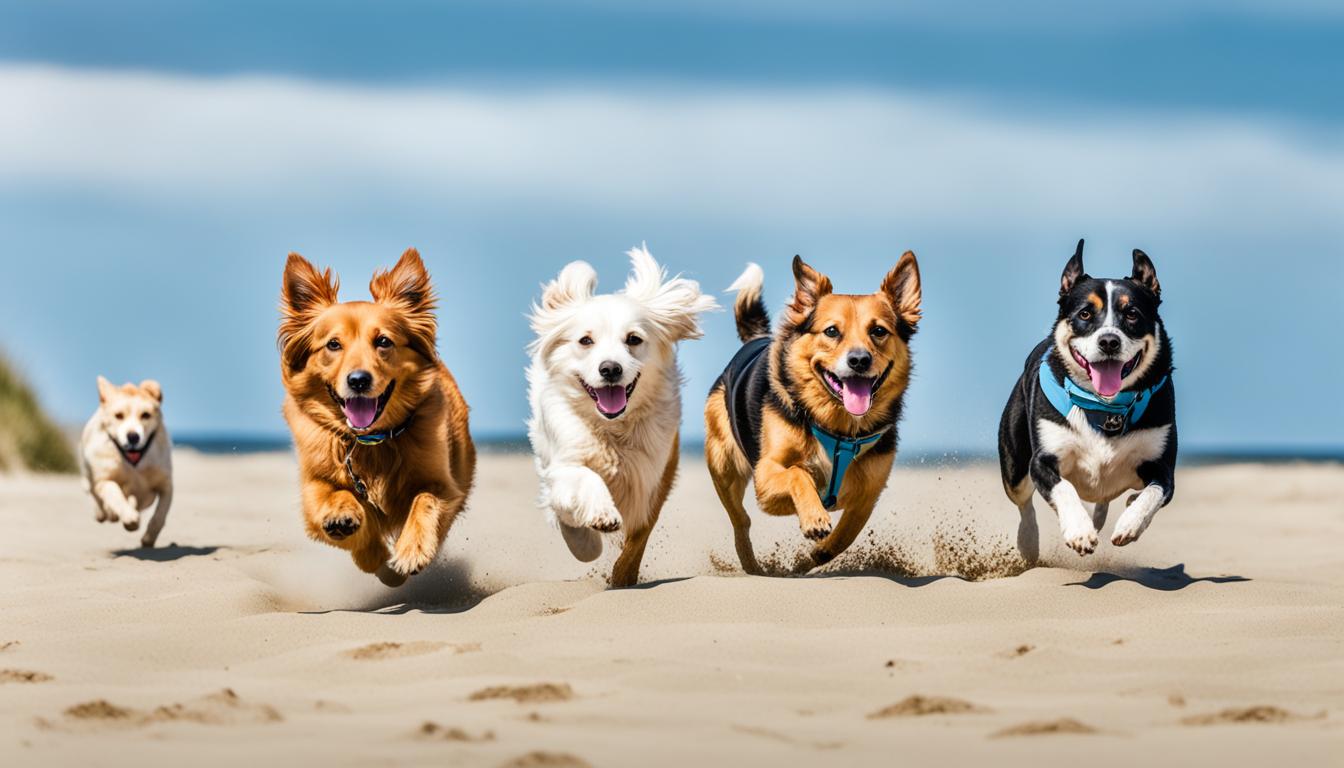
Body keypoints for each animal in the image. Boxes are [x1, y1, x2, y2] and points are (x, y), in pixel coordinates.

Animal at [278, 248, 478, 586]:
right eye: (333, 344)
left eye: (383, 341)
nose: (359, 380)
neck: (370, 442)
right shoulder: (313, 485)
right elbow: (336, 505)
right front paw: (346, 520)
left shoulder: (444, 486)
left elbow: (424, 500)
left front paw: (411, 550)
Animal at [524, 246, 715, 589]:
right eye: (585, 340)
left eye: (633, 339)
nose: (610, 368)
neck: (611, 429)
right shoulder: (562, 464)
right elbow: (584, 482)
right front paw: (597, 522)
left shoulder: (654, 475)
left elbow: (640, 533)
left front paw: (624, 575)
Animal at [704, 255, 924, 572]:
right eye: (831, 331)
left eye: (879, 331)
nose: (859, 360)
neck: (840, 429)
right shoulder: (765, 480)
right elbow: (798, 474)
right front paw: (814, 519)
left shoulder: (868, 495)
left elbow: (843, 537)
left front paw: (810, 559)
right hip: (723, 465)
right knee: (741, 520)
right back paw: (751, 565)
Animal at [999, 240, 1177, 564]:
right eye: (1084, 314)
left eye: (1132, 313)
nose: (1109, 341)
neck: (1106, 407)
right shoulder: (1043, 459)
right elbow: (1063, 488)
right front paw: (1079, 532)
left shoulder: (1161, 465)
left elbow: (1154, 493)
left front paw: (1130, 523)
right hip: (1014, 463)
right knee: (1023, 502)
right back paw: (1029, 541)